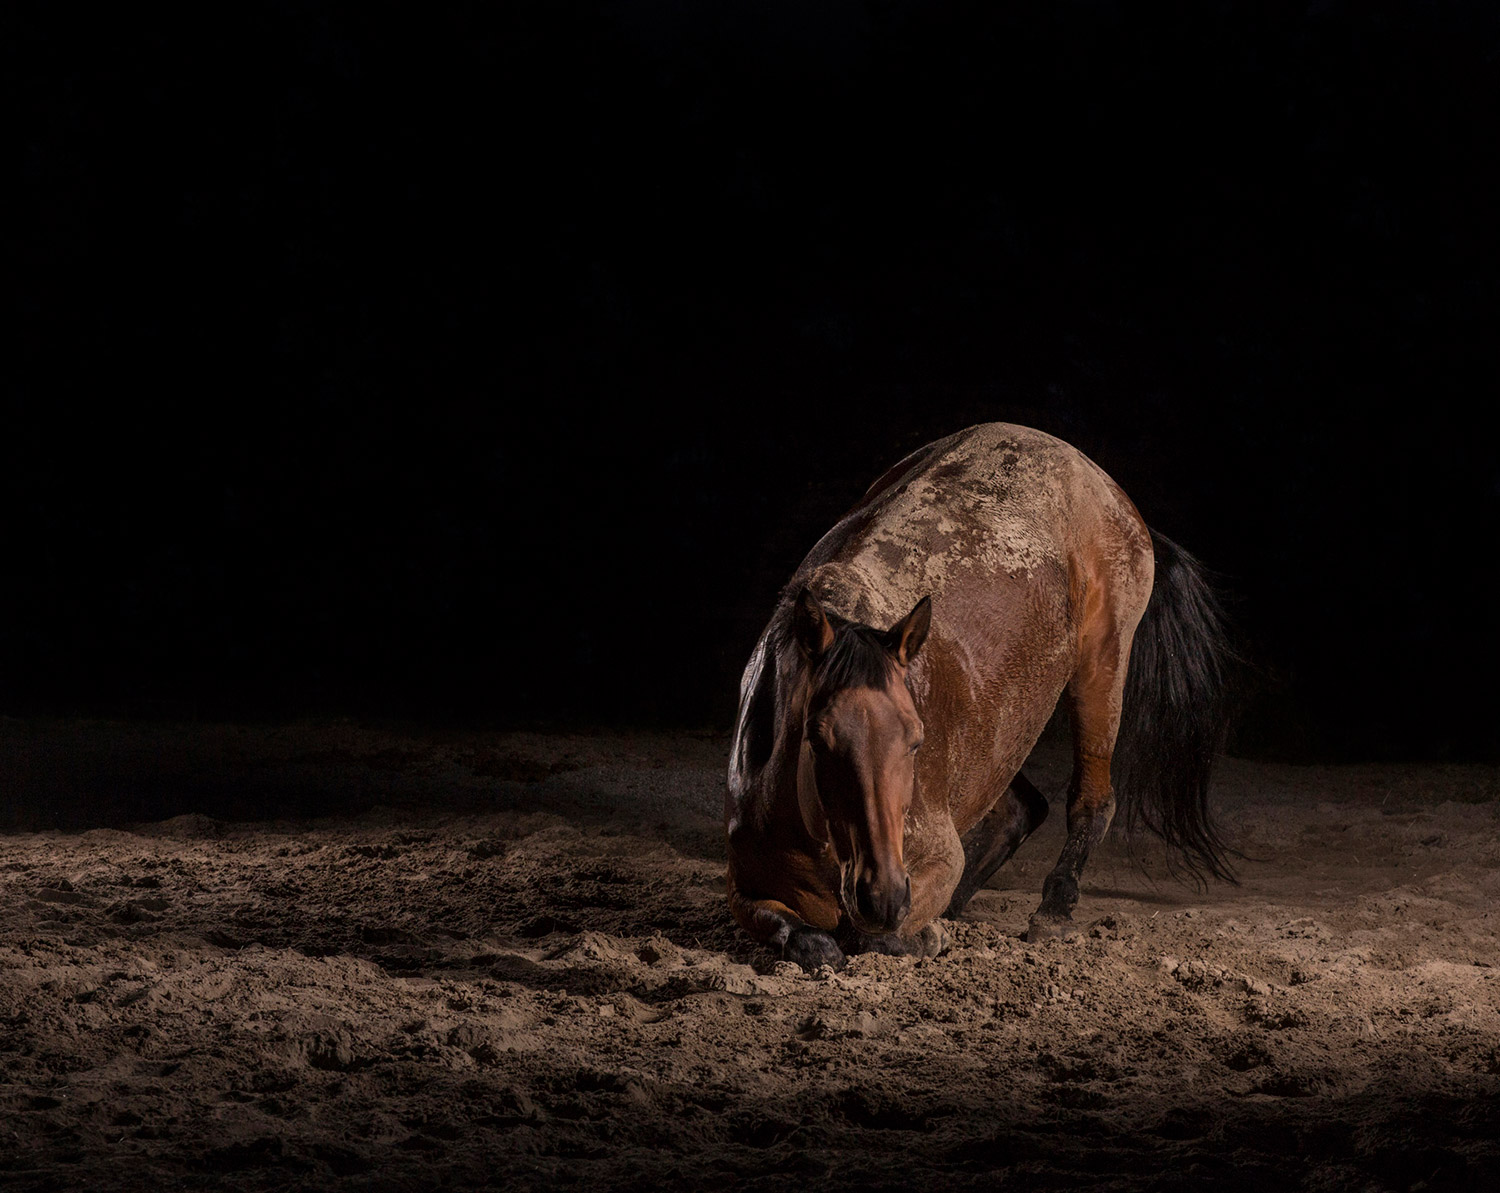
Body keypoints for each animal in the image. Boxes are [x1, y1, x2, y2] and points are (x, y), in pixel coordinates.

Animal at [725, 422, 1235, 971]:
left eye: (916, 741)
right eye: (817, 740)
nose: (884, 897)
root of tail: (1096, 476)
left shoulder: (934, 860)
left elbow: (877, 938)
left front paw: (922, 935)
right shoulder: (744, 891)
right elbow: (806, 937)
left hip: (1102, 668)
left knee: (1093, 799)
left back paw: (1053, 909)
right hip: (998, 734)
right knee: (1021, 806)